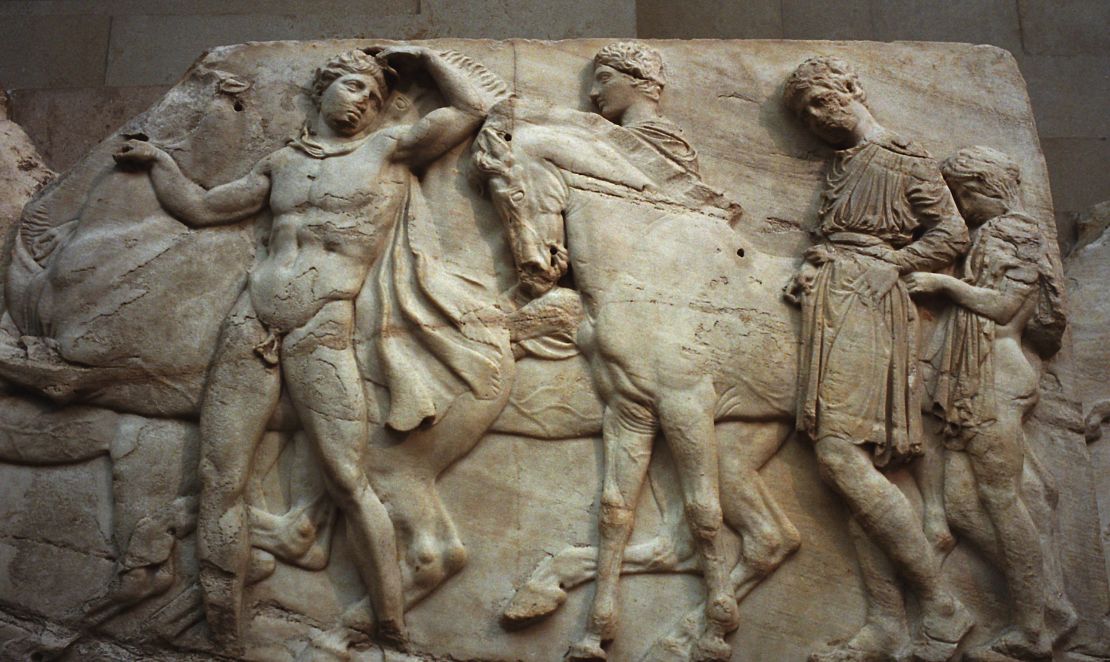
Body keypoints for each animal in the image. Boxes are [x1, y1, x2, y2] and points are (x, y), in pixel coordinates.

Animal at [470, 99, 808, 662]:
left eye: (511, 192)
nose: (538, 273)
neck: (650, 258)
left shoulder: (684, 406)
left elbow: (703, 513)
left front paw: (718, 629)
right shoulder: (630, 409)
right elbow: (615, 513)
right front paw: (592, 637)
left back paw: (700, 634)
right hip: (737, 442)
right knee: (764, 539)